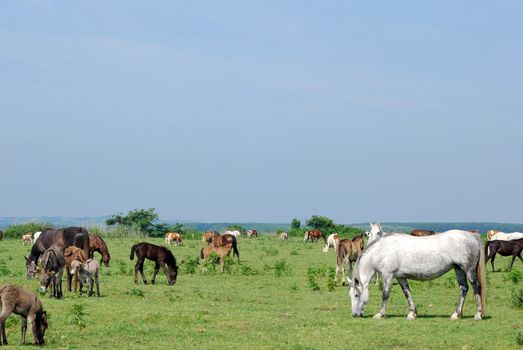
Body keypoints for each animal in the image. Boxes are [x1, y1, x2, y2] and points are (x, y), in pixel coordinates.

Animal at [348, 231, 488, 322]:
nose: (354, 314)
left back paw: (478, 314)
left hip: (469, 270)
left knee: (476, 287)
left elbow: (385, 295)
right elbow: (407, 293)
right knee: (463, 288)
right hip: (458, 269)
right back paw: (456, 314)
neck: (382, 251)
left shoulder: (388, 275)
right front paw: (412, 313)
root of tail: (472, 235)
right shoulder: (400, 277)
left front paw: (380, 314)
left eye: (356, 295)